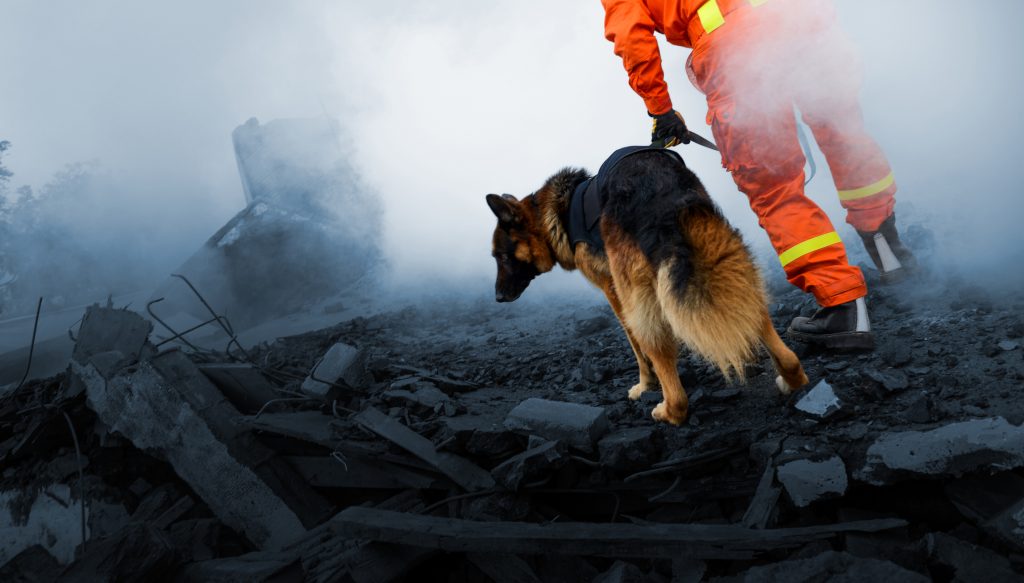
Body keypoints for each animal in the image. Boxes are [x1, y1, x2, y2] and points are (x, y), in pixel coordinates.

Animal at [487, 148, 806, 422]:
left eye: (501, 256)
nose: (498, 297)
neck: (553, 216)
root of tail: (658, 193)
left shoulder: (613, 290)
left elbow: (635, 346)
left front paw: (645, 384)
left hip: (639, 295)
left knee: (669, 377)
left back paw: (668, 410)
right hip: (723, 256)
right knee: (762, 323)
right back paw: (792, 378)